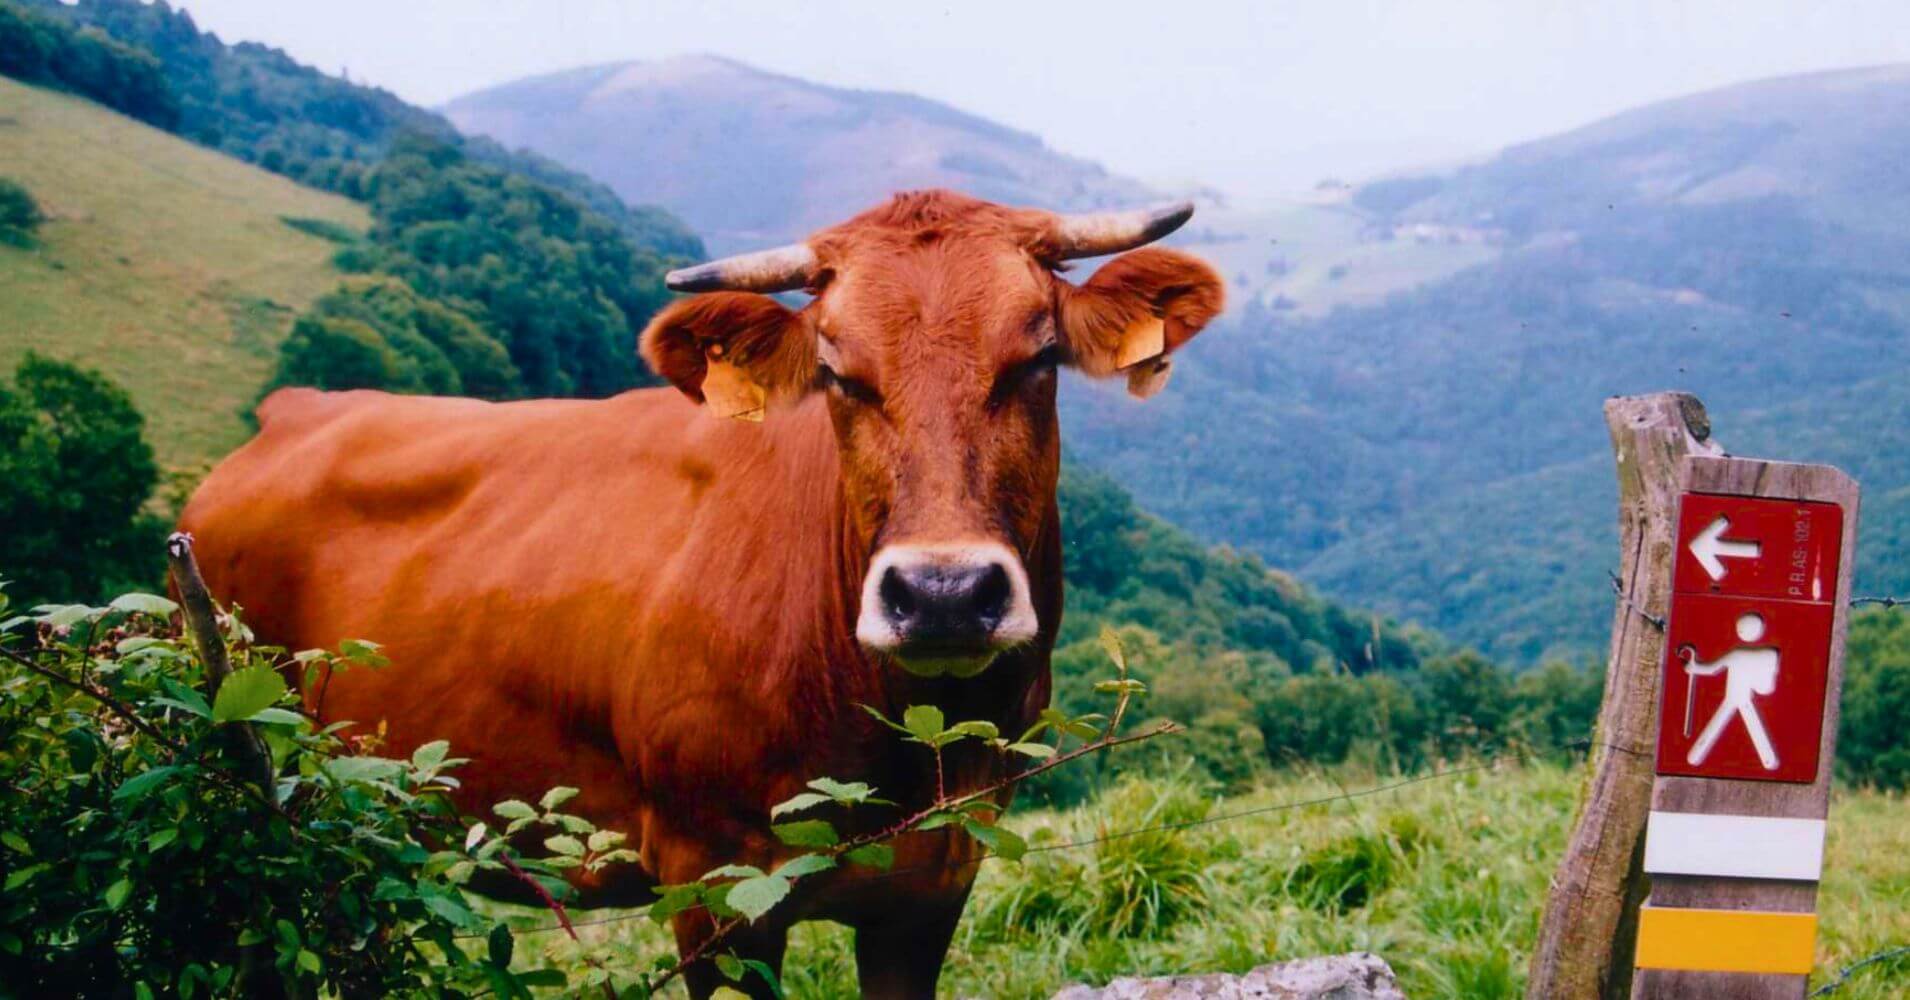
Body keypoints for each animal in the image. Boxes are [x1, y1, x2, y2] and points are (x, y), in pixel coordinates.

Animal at [180, 190, 1223, 997]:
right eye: (838, 372)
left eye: (1036, 359)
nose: (942, 594)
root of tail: (293, 411)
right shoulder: (713, 882)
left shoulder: (938, 879)